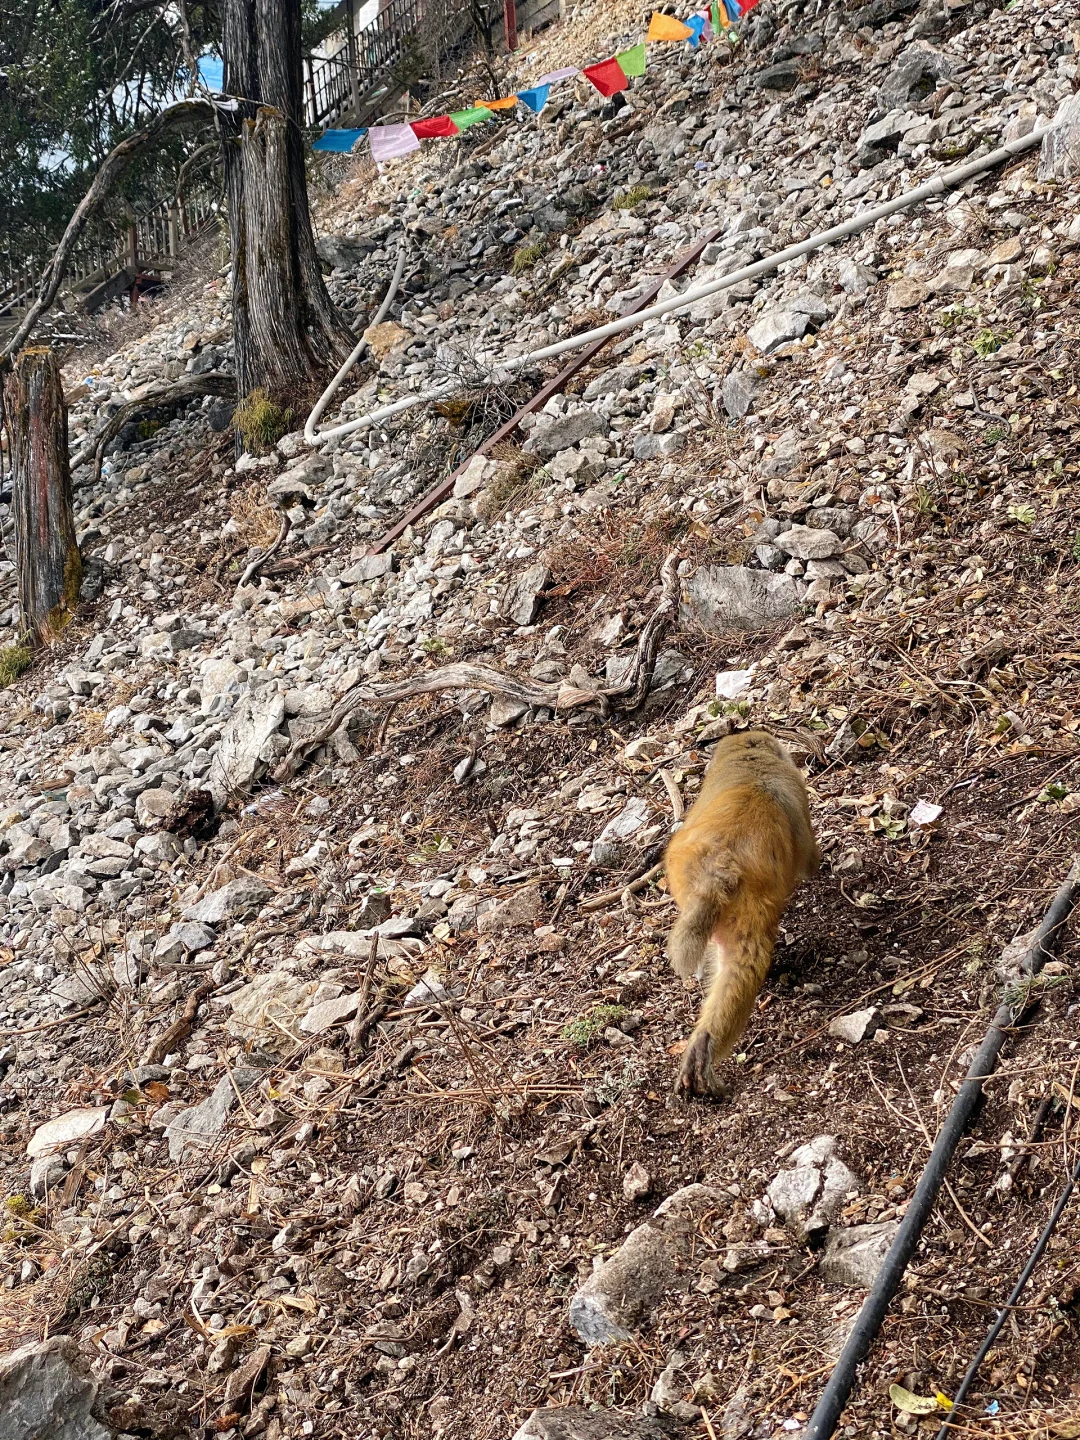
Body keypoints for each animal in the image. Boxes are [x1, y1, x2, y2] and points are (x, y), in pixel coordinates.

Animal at [659, 731, 817, 1100]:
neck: (752, 764)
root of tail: (717, 869)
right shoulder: (796, 792)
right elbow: (808, 857)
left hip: (688, 881)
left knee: (731, 966)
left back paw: (701, 1048)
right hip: (750, 908)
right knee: (747, 962)